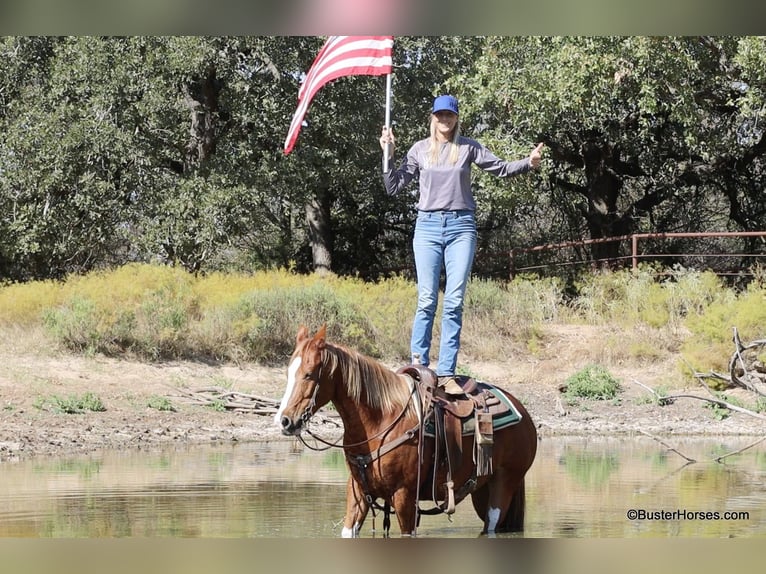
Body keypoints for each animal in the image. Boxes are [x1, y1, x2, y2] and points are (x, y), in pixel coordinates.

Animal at [276, 328, 540, 540]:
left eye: (309, 373)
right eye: (288, 373)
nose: (285, 421)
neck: (380, 419)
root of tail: (524, 413)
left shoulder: (404, 496)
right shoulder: (358, 491)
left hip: (504, 483)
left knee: (492, 525)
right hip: (481, 489)